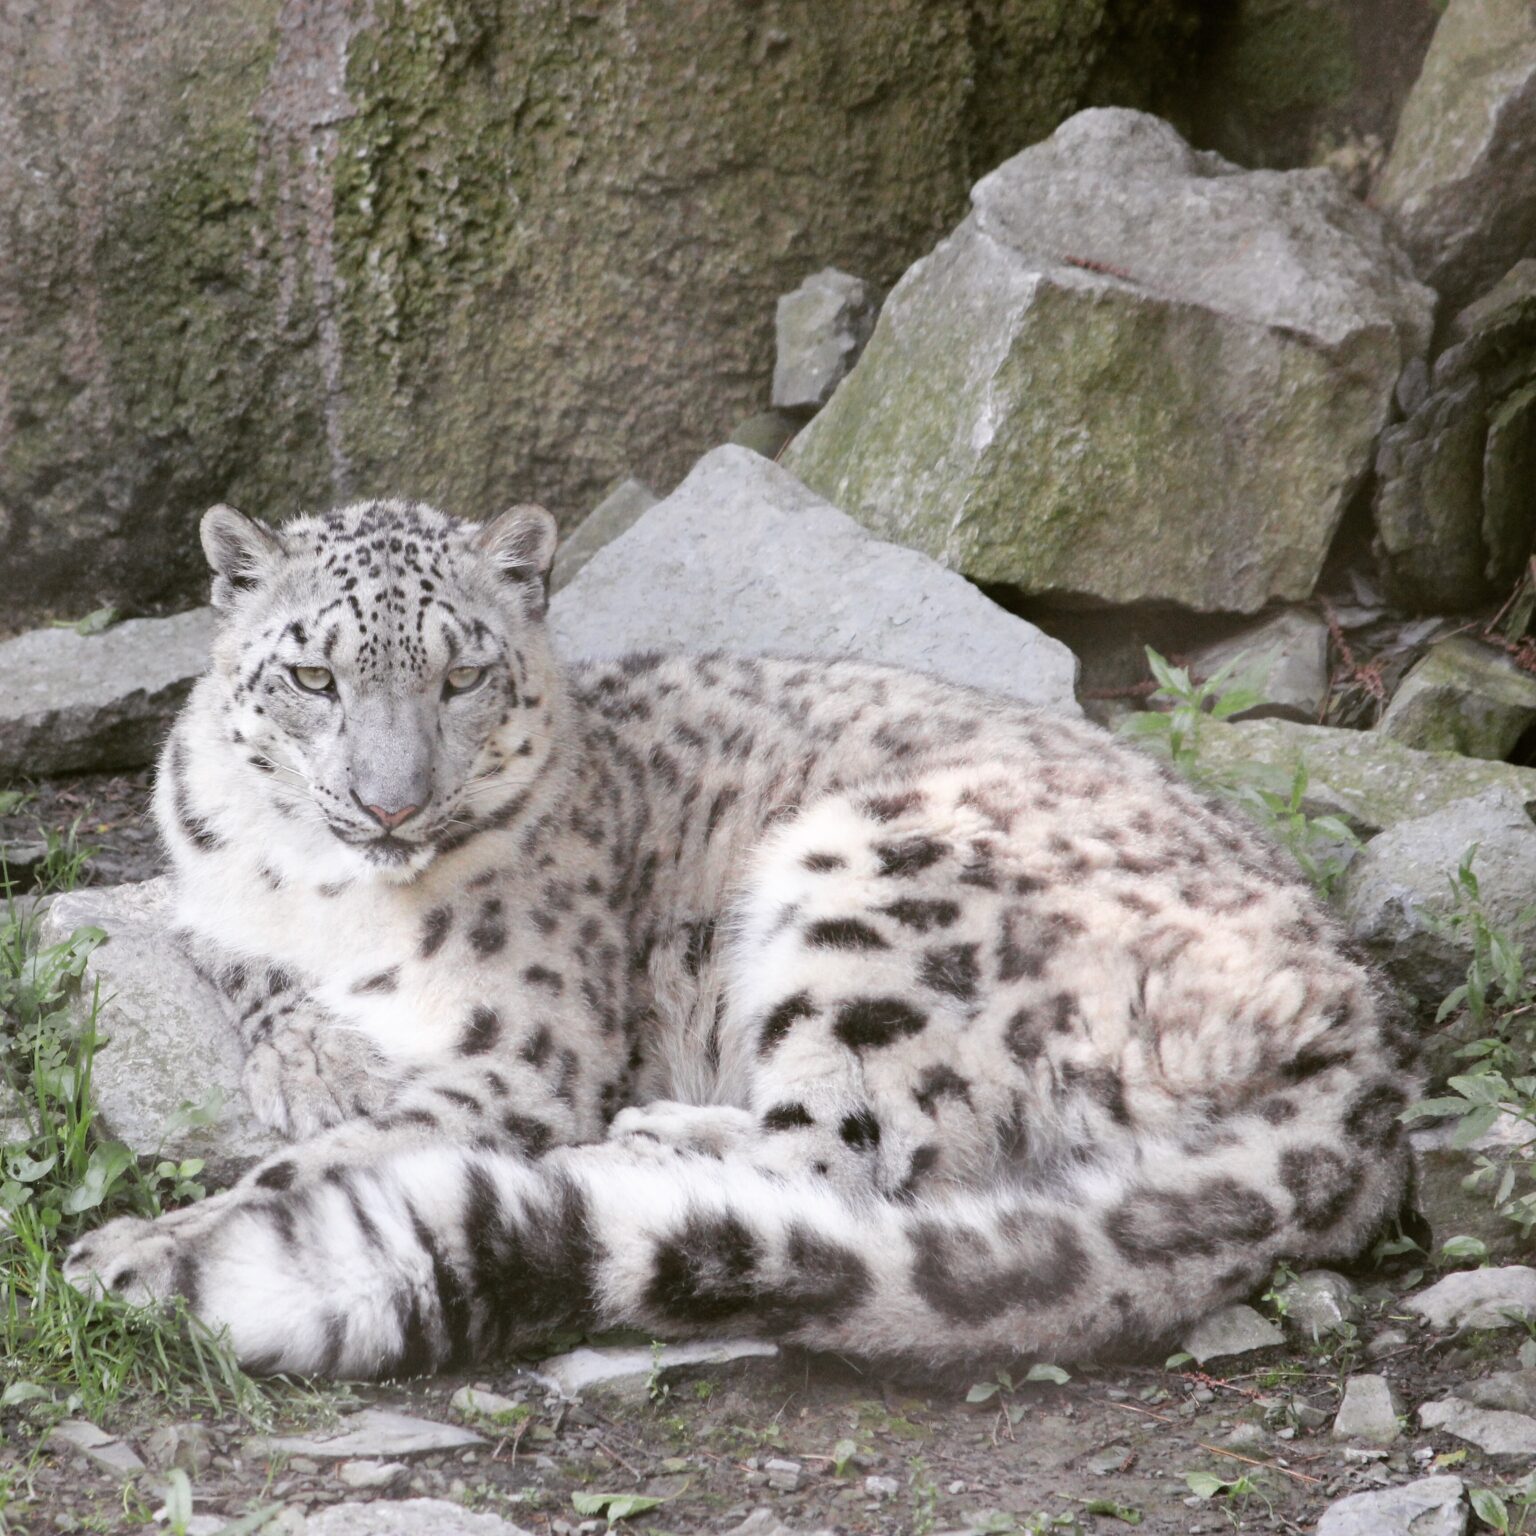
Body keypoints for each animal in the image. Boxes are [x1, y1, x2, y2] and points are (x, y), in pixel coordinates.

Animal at [64, 495, 1418, 1380]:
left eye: (462, 677)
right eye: (314, 676)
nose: (391, 803)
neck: (328, 889)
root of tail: (1364, 1037)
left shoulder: (522, 1054)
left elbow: (328, 1161)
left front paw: (147, 1247)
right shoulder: (198, 873)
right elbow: (228, 950)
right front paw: (312, 1058)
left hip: (875, 885)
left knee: (856, 1161)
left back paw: (638, 1146)